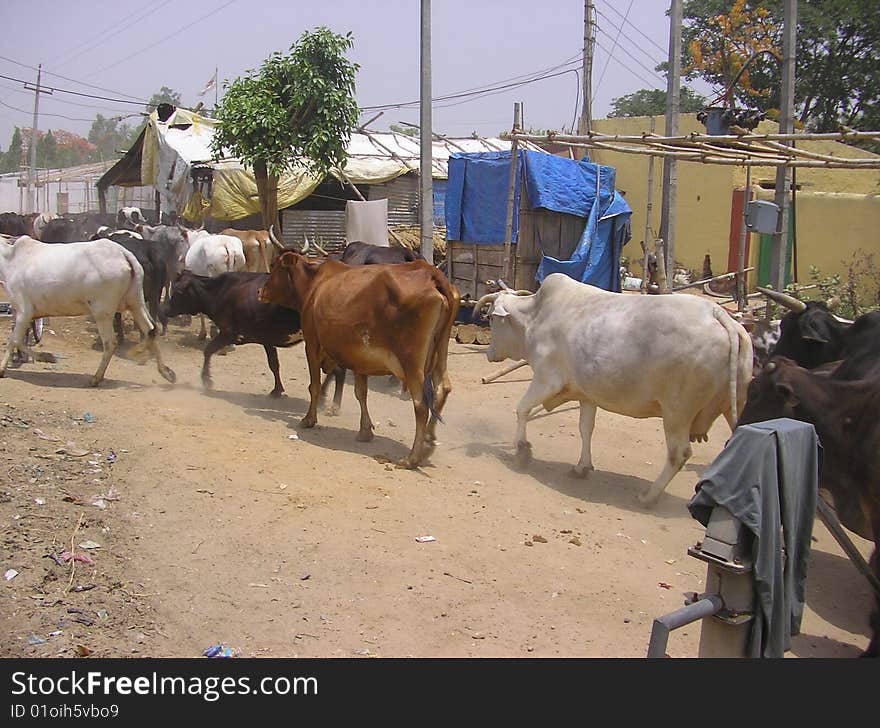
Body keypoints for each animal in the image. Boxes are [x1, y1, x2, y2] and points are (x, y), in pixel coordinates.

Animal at [0, 237, 177, 386]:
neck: (9, 259)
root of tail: (124, 254)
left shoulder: (24, 311)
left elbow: (14, 340)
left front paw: (5, 369)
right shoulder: (23, 313)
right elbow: (18, 340)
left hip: (102, 312)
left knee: (111, 343)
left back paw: (96, 378)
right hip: (136, 302)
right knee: (151, 330)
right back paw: (165, 372)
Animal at [260, 252, 460, 466]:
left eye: (275, 266)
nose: (260, 291)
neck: (314, 284)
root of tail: (431, 273)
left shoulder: (312, 343)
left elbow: (314, 386)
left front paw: (308, 419)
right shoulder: (360, 358)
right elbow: (360, 393)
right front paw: (365, 430)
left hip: (412, 363)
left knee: (421, 404)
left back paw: (412, 458)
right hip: (440, 353)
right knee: (443, 389)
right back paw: (428, 441)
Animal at [478, 272, 752, 506]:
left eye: (490, 317)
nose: (490, 353)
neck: (534, 317)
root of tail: (717, 313)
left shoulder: (547, 379)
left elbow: (522, 409)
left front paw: (522, 451)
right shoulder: (586, 394)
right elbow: (585, 428)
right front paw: (582, 467)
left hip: (677, 411)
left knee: (679, 453)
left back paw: (648, 497)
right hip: (737, 406)